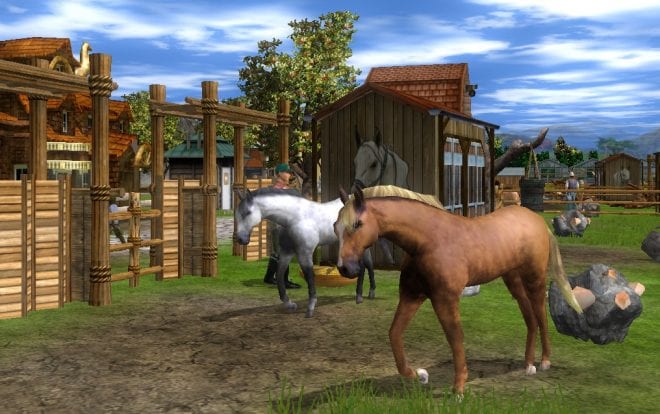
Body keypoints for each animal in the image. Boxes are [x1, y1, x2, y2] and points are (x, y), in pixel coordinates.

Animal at [234, 187, 377, 317]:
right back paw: (359, 296)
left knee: (367, 265)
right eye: (236, 214)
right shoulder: (287, 253)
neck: (294, 218)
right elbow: (280, 275)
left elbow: (309, 277)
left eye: (247, 212)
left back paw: (368, 294)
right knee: (363, 266)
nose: (241, 239)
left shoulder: (305, 253)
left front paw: (310, 309)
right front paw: (289, 304)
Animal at [334, 185, 584, 395]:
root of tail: (536, 220)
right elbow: (395, 334)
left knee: (541, 314)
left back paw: (544, 362)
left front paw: (458, 389)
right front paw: (419, 375)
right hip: (513, 280)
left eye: (357, 224)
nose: (345, 268)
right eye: (336, 228)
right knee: (530, 318)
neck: (427, 241)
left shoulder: (445, 299)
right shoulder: (412, 295)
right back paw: (528, 365)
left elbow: (455, 337)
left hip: (534, 279)